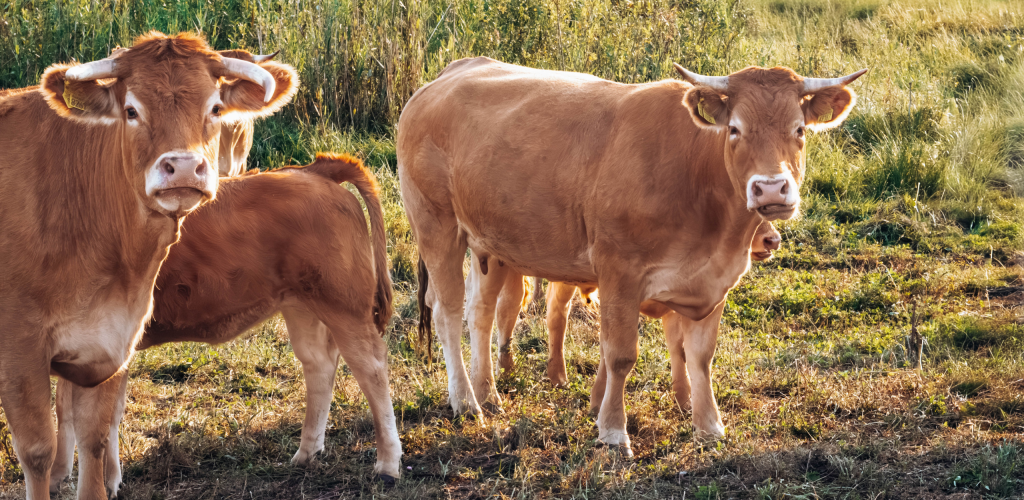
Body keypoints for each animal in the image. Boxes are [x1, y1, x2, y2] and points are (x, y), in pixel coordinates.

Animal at [0, 32, 298, 500]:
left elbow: (94, 437)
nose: (183, 167)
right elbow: (36, 450)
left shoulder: (109, 341)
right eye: (131, 111)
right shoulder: (18, 350)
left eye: (215, 108)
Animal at [50, 154, 402, 495]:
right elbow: (66, 410)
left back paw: (388, 464)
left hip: (343, 305)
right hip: (301, 304)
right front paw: (58, 476)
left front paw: (106, 481)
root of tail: (312, 170)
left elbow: (104, 418)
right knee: (319, 363)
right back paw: (306, 453)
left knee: (370, 366)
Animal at [398, 56, 863, 454]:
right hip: (437, 225)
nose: (770, 190)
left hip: (488, 243)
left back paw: (488, 392)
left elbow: (700, 357)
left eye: (799, 130)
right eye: (734, 129)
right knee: (447, 312)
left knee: (479, 311)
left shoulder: (713, 282)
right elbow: (620, 356)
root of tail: (448, 75)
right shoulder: (619, 272)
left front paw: (709, 427)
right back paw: (465, 401)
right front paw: (612, 432)